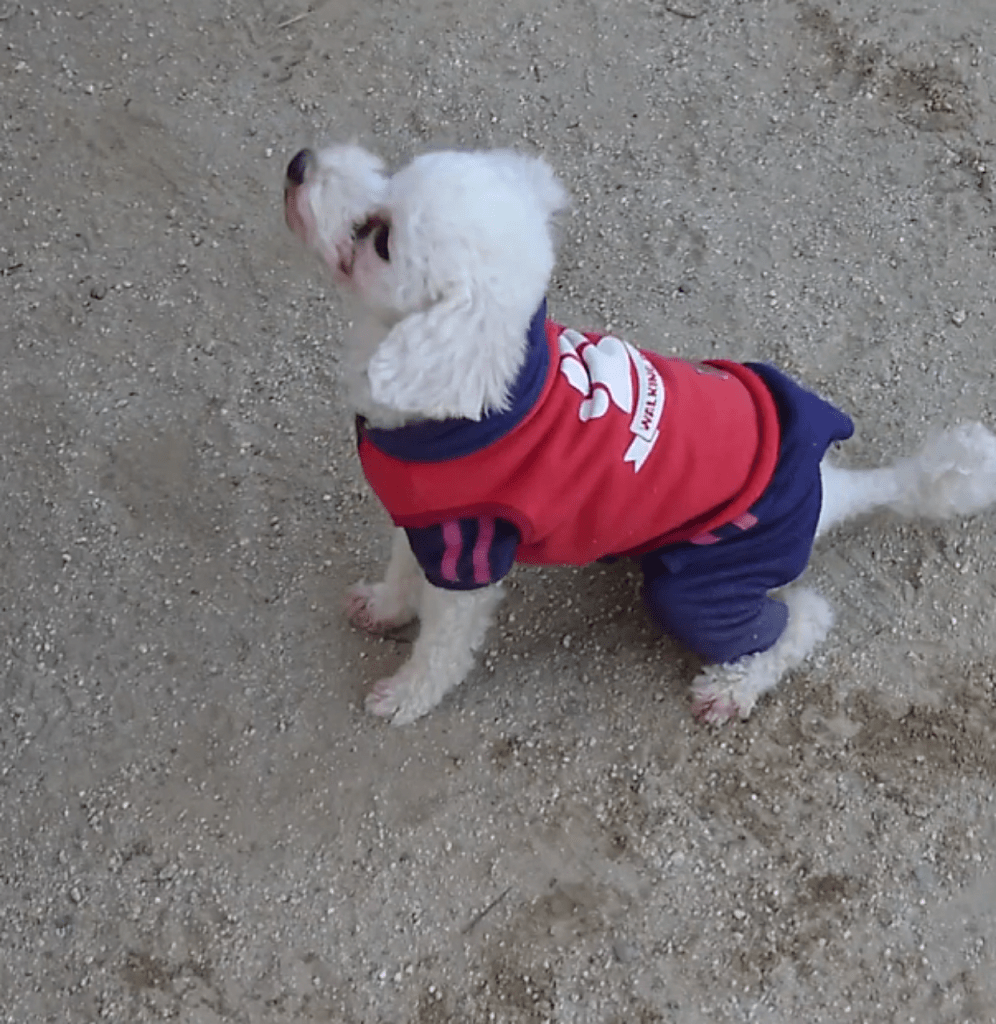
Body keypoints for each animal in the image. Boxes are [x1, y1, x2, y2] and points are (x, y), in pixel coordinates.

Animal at [283, 143, 996, 726]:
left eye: (380, 240)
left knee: (802, 619)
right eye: (392, 174)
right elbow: (403, 573)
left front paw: (406, 696)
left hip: (701, 586)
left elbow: (442, 647)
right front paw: (385, 606)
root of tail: (828, 489)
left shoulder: (470, 552)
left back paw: (735, 686)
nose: (298, 164)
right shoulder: (429, 520)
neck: (456, 388)